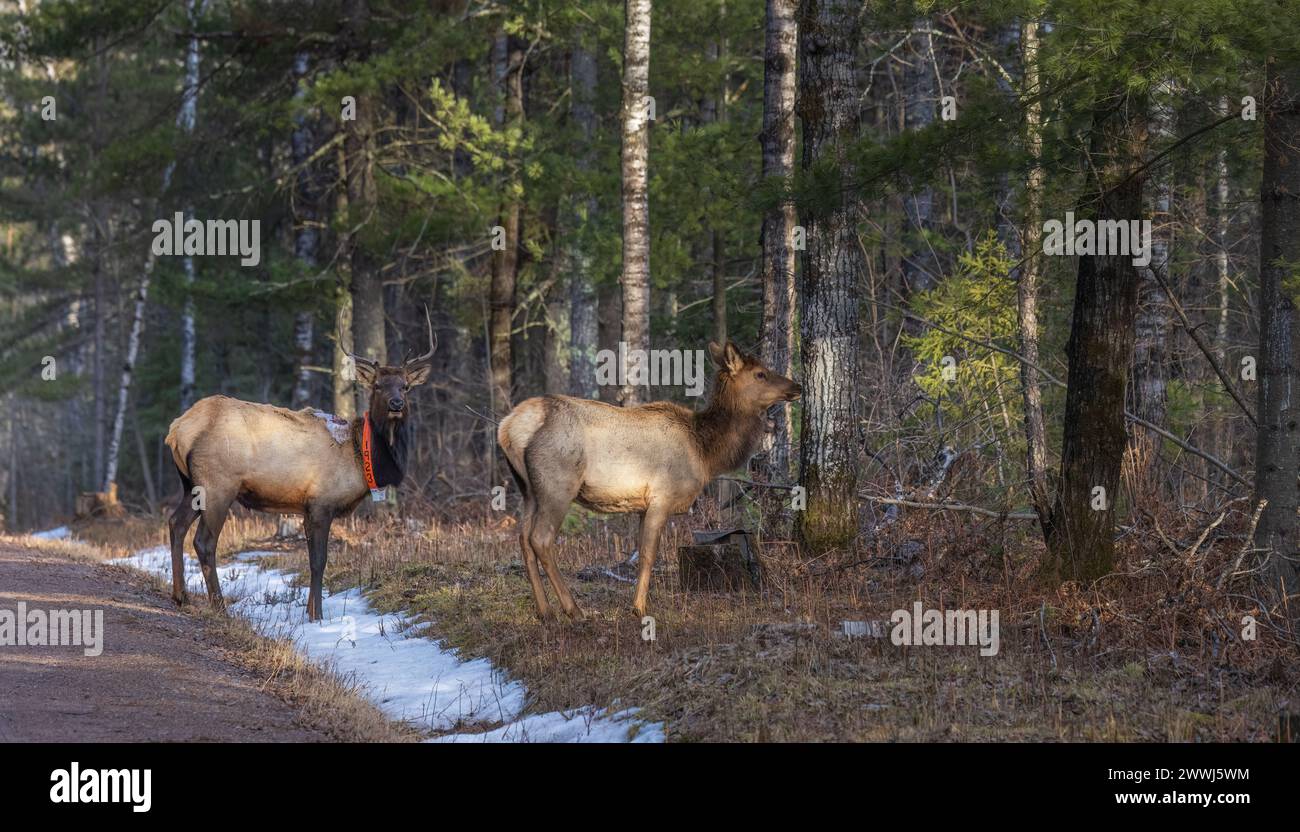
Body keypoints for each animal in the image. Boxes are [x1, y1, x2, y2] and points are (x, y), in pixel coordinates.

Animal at [161, 314, 436, 621]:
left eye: (406, 386)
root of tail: (177, 430)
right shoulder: (322, 502)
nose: (396, 404)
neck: (360, 457)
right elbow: (319, 561)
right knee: (204, 541)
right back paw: (219, 606)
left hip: (190, 485)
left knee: (175, 523)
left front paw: (310, 611)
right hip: (217, 484)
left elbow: (312, 558)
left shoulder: (306, 507)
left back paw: (181, 595)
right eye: (377, 385)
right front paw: (317, 616)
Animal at [499, 338, 795, 618]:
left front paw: (637, 603)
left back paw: (545, 611)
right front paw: (639, 607)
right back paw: (574, 610)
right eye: (760, 373)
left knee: (523, 538)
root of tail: (508, 426)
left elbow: (640, 553)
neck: (705, 452)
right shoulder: (662, 496)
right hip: (557, 484)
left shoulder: (642, 505)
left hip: (528, 489)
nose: (797, 386)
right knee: (540, 539)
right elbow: (649, 555)